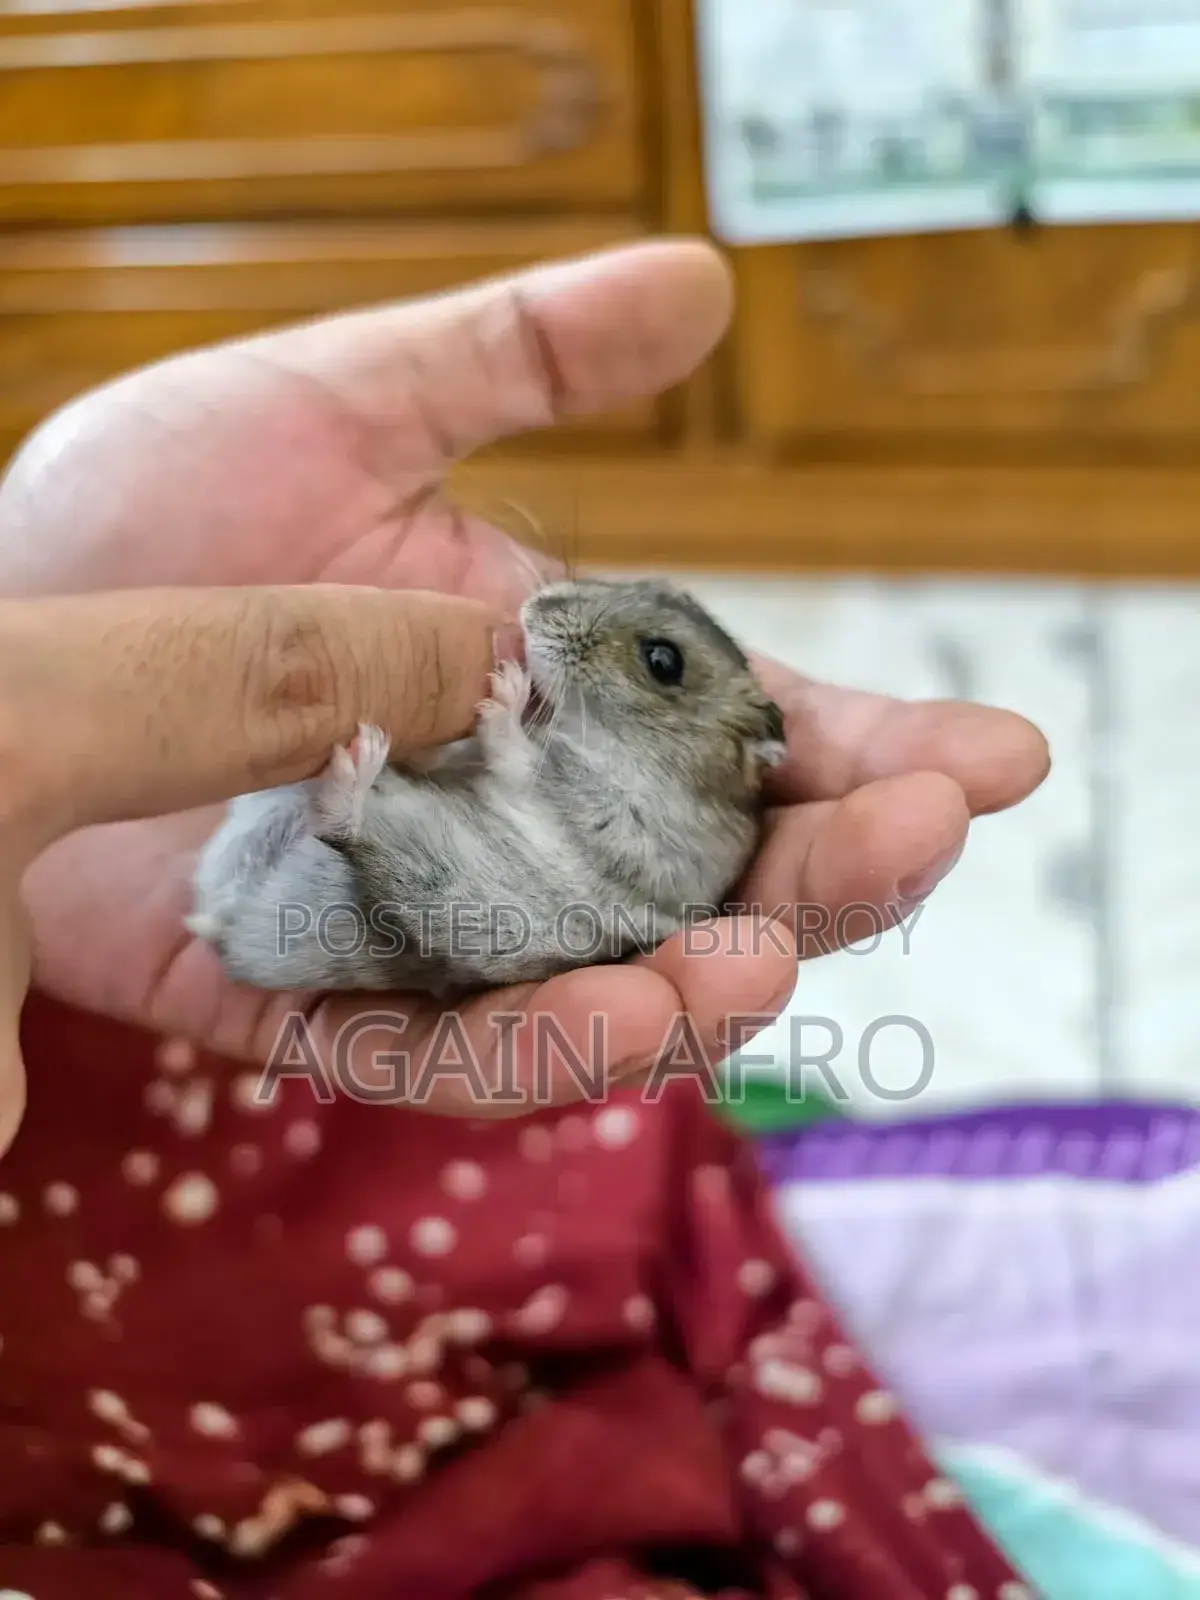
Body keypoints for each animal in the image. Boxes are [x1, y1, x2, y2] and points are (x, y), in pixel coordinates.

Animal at [185, 576, 788, 997]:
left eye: (663, 660)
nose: (534, 608)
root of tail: (225, 926)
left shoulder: (616, 815)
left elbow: (524, 763)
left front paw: (505, 693)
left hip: (436, 896)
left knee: (349, 833)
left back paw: (363, 763)